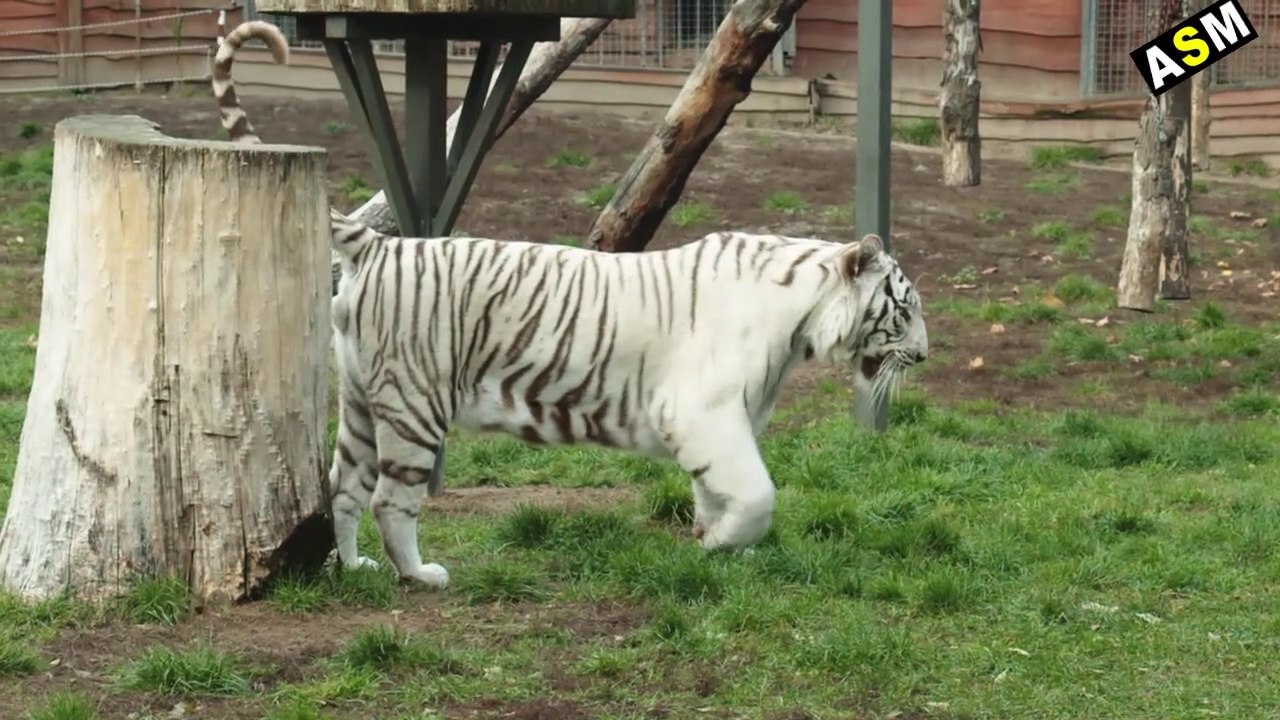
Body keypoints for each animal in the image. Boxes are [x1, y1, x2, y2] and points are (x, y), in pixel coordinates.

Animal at [327, 210, 929, 589]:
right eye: (905, 309)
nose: (924, 355)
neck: (803, 320)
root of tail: (379, 243)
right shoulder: (704, 413)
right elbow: (757, 495)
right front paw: (721, 544)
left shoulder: (721, 421)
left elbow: (714, 490)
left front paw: (714, 540)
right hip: (414, 403)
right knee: (389, 500)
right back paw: (419, 575)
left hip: (359, 405)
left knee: (343, 490)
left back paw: (356, 568)